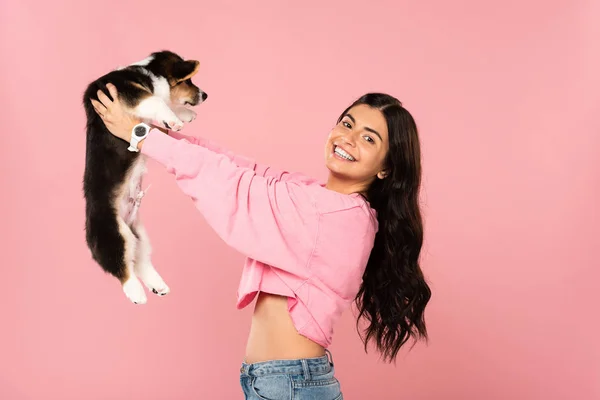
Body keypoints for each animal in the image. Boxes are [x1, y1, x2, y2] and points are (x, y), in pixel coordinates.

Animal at [82, 50, 206, 304]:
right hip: (114, 235)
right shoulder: (130, 94)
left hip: (139, 235)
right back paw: (136, 293)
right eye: (188, 81)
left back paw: (158, 286)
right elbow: (157, 101)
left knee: (140, 261)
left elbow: (164, 104)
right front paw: (176, 118)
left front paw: (183, 115)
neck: (147, 73)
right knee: (123, 269)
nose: (205, 95)